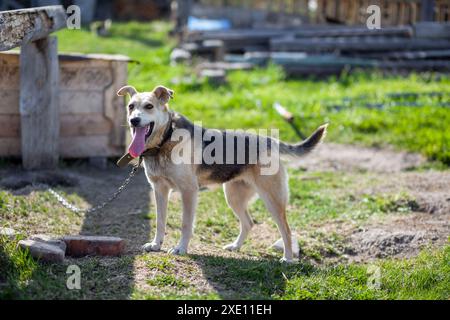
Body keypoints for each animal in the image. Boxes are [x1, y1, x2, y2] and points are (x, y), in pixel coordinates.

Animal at [117, 85, 326, 262]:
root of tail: (270, 141)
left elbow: (185, 224)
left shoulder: (188, 191)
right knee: (249, 223)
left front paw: (180, 248)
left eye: (149, 106)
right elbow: (160, 221)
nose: (134, 120)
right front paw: (156, 244)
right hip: (234, 197)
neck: (164, 140)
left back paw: (288, 259)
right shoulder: (159, 190)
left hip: (272, 199)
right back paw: (235, 246)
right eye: (131, 106)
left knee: (286, 230)